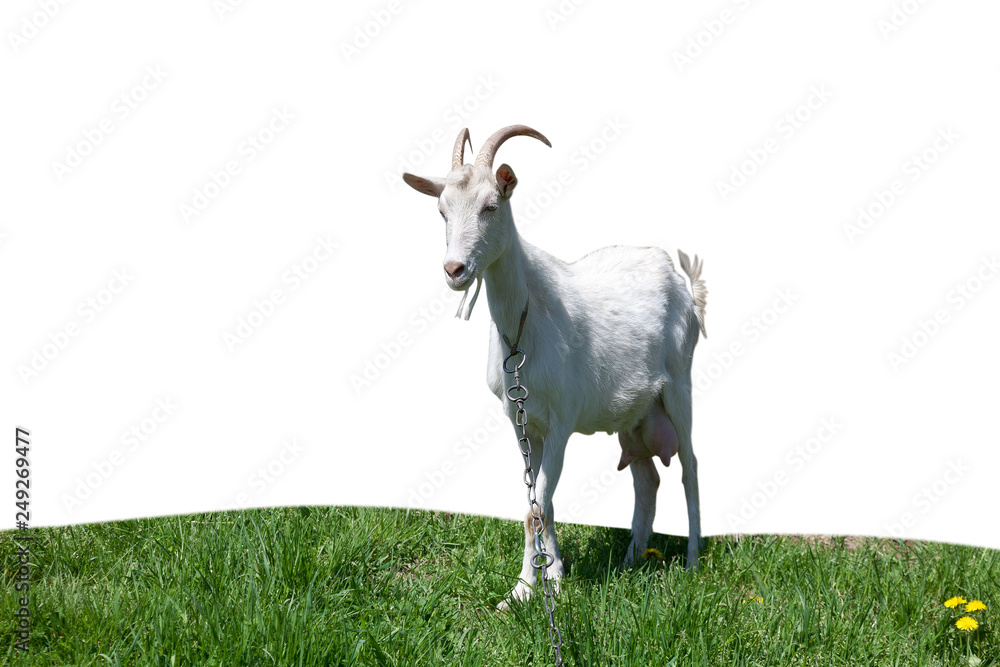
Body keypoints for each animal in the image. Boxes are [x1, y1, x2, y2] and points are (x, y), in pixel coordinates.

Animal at [402, 125, 707, 609]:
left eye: (491, 206)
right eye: (441, 210)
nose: (454, 269)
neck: (524, 326)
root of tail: (684, 283)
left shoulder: (562, 421)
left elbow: (538, 503)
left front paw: (529, 587)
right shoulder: (521, 421)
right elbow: (536, 501)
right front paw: (549, 577)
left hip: (679, 384)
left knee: (690, 467)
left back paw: (693, 560)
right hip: (635, 413)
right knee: (647, 479)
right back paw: (631, 558)